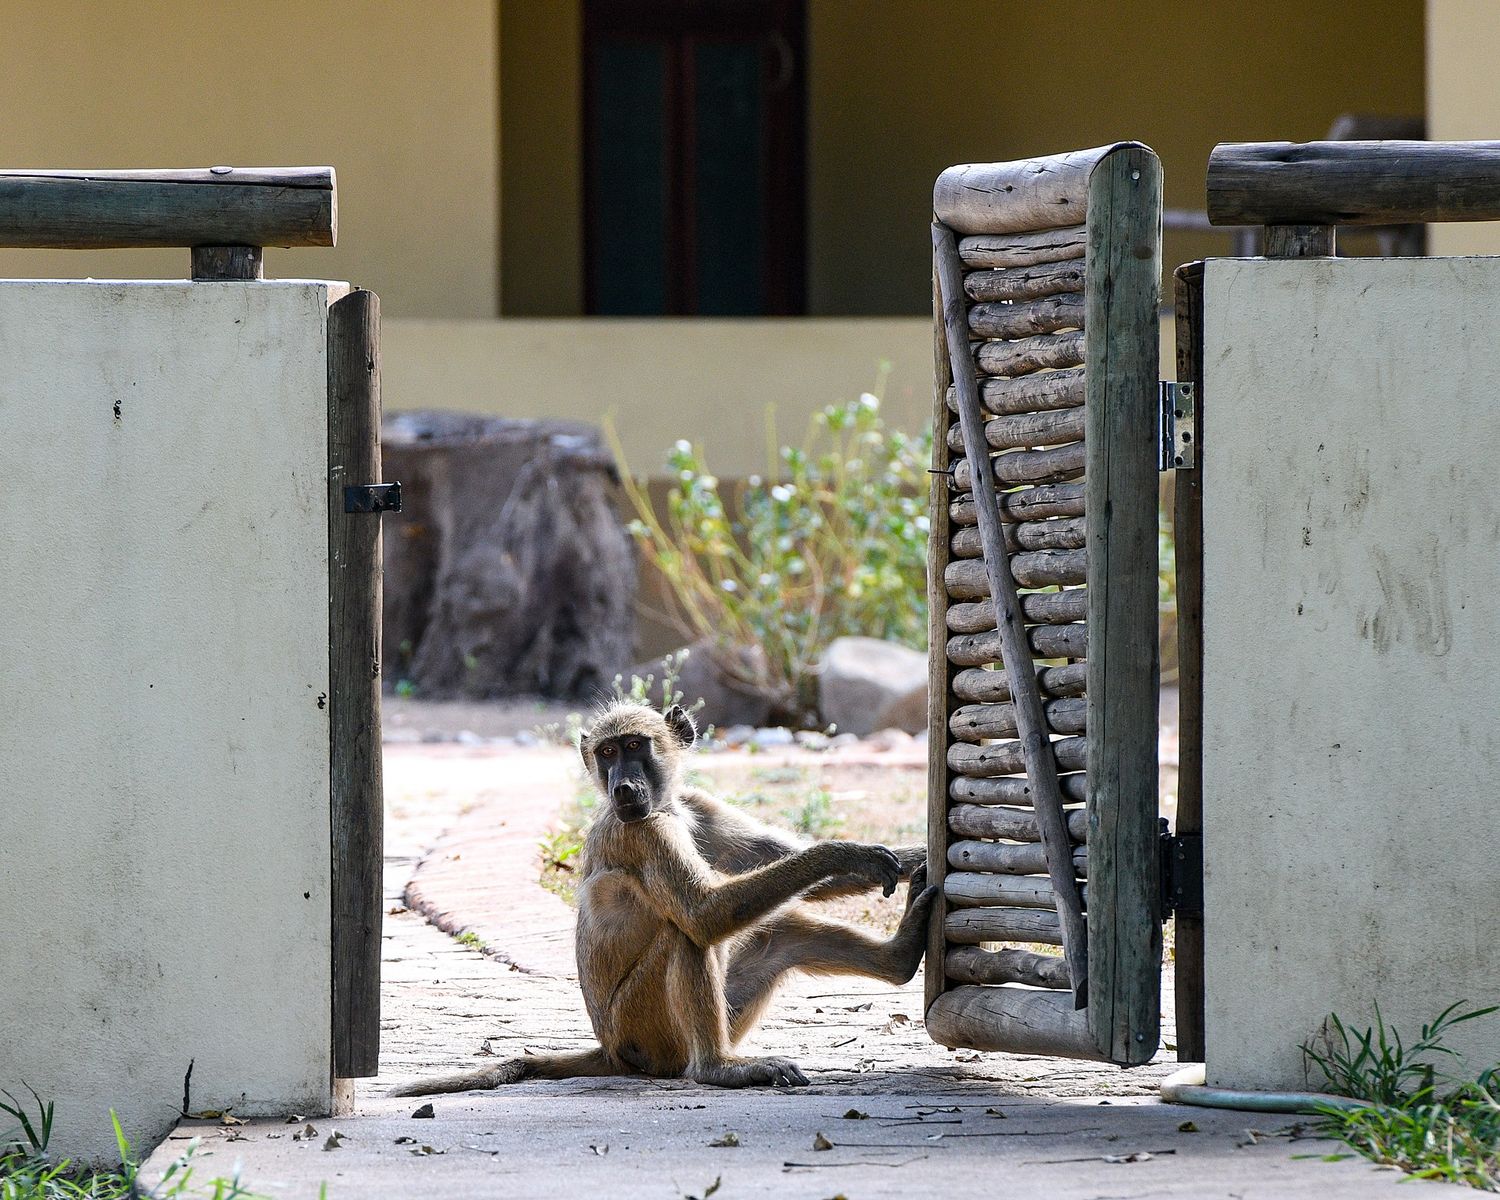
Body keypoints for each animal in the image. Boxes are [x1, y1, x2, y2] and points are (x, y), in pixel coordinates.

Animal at [391, 701, 935, 1095]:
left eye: (634, 746)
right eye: (607, 754)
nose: (622, 788)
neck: (664, 806)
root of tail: (610, 1049)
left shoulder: (697, 806)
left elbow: (789, 866)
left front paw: (902, 856)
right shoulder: (642, 832)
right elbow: (703, 913)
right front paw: (841, 852)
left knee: (780, 935)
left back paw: (900, 958)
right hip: (646, 1034)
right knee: (686, 935)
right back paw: (718, 1069)